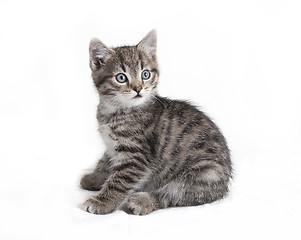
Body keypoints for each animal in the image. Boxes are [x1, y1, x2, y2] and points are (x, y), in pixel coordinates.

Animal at [80, 30, 232, 216]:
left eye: (145, 74)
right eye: (121, 77)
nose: (138, 88)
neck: (115, 110)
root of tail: (225, 182)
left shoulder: (137, 157)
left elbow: (119, 181)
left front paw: (102, 202)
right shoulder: (111, 145)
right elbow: (104, 161)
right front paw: (93, 178)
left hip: (204, 173)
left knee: (172, 194)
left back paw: (142, 201)